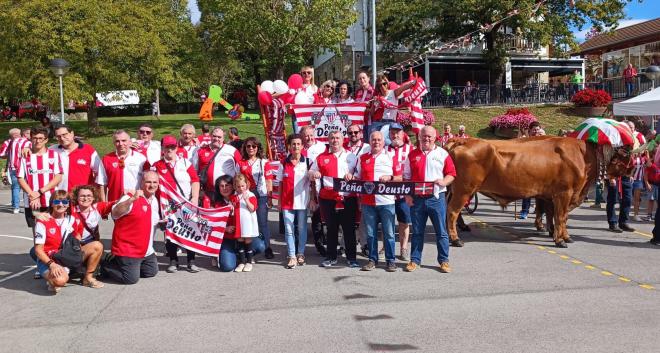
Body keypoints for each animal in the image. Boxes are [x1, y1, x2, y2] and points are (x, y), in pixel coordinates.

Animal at [446, 136, 632, 246]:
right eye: (626, 157)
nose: (631, 174)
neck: (583, 155)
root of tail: (462, 140)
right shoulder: (564, 193)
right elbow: (560, 216)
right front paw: (560, 240)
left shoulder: (551, 196)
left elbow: (556, 216)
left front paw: (561, 235)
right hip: (464, 189)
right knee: (452, 212)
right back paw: (455, 239)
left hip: (454, 190)